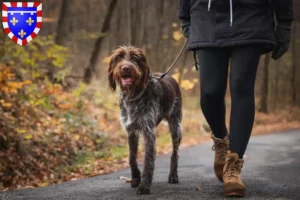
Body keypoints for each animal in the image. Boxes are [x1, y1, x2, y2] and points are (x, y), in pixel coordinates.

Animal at [108, 46, 183, 195]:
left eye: (135, 58)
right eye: (119, 58)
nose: (125, 68)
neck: (133, 95)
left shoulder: (148, 131)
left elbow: (148, 160)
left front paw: (144, 186)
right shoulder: (131, 130)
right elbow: (132, 157)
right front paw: (136, 178)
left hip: (175, 126)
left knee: (175, 153)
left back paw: (173, 175)